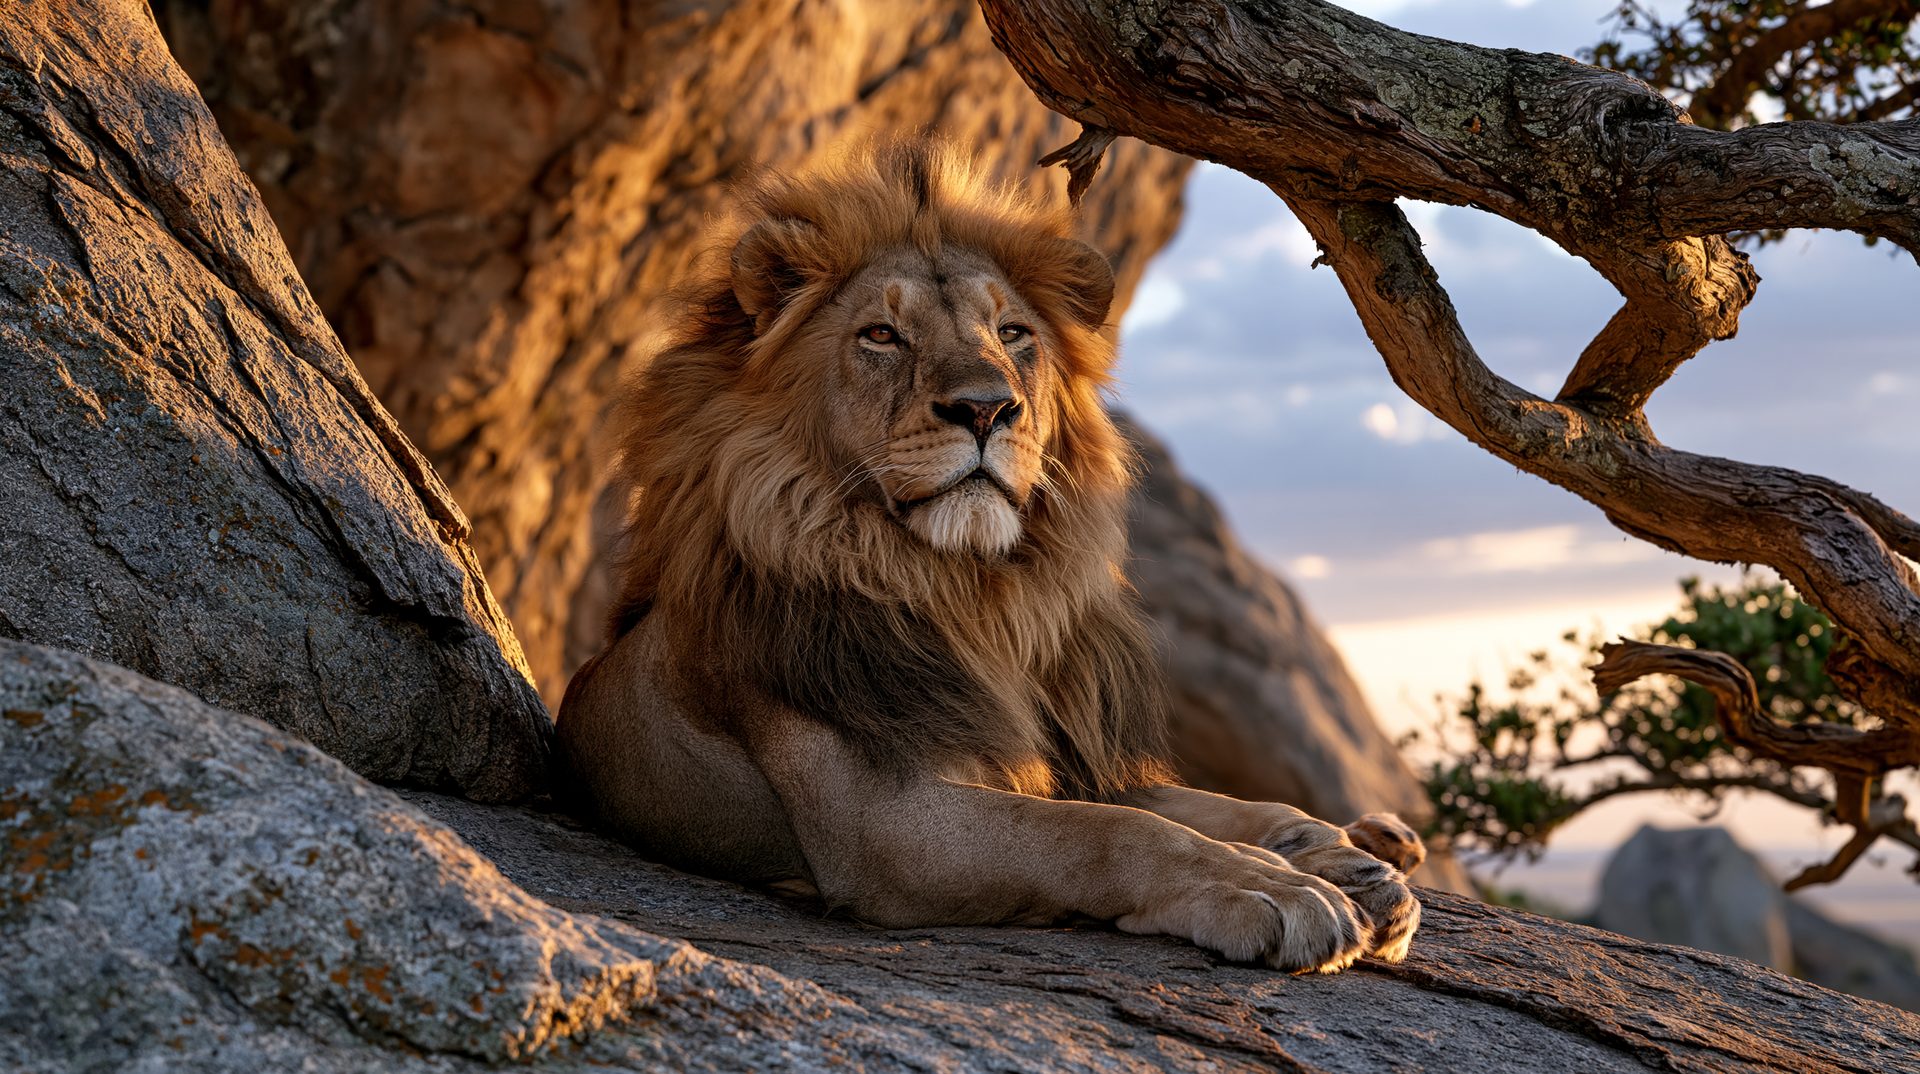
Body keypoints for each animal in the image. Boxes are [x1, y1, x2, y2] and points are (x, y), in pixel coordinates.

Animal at [557, 138, 1423, 973]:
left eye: (1012, 334)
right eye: (881, 335)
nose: (986, 408)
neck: (976, 599)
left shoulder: (1068, 757)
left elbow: (1216, 807)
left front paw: (1338, 861)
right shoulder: (886, 825)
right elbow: (1109, 832)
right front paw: (1273, 889)